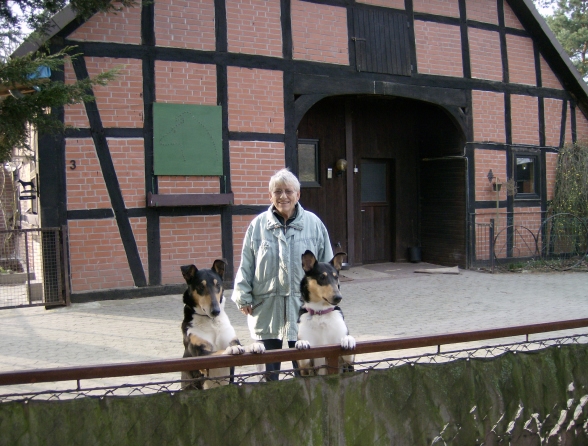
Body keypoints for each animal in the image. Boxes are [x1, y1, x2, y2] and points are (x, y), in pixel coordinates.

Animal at [179, 260, 262, 388]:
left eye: (217, 285)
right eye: (200, 287)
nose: (216, 311)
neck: (211, 322)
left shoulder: (232, 340)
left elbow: (241, 345)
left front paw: (254, 345)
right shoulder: (200, 354)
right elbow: (219, 352)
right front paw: (232, 349)